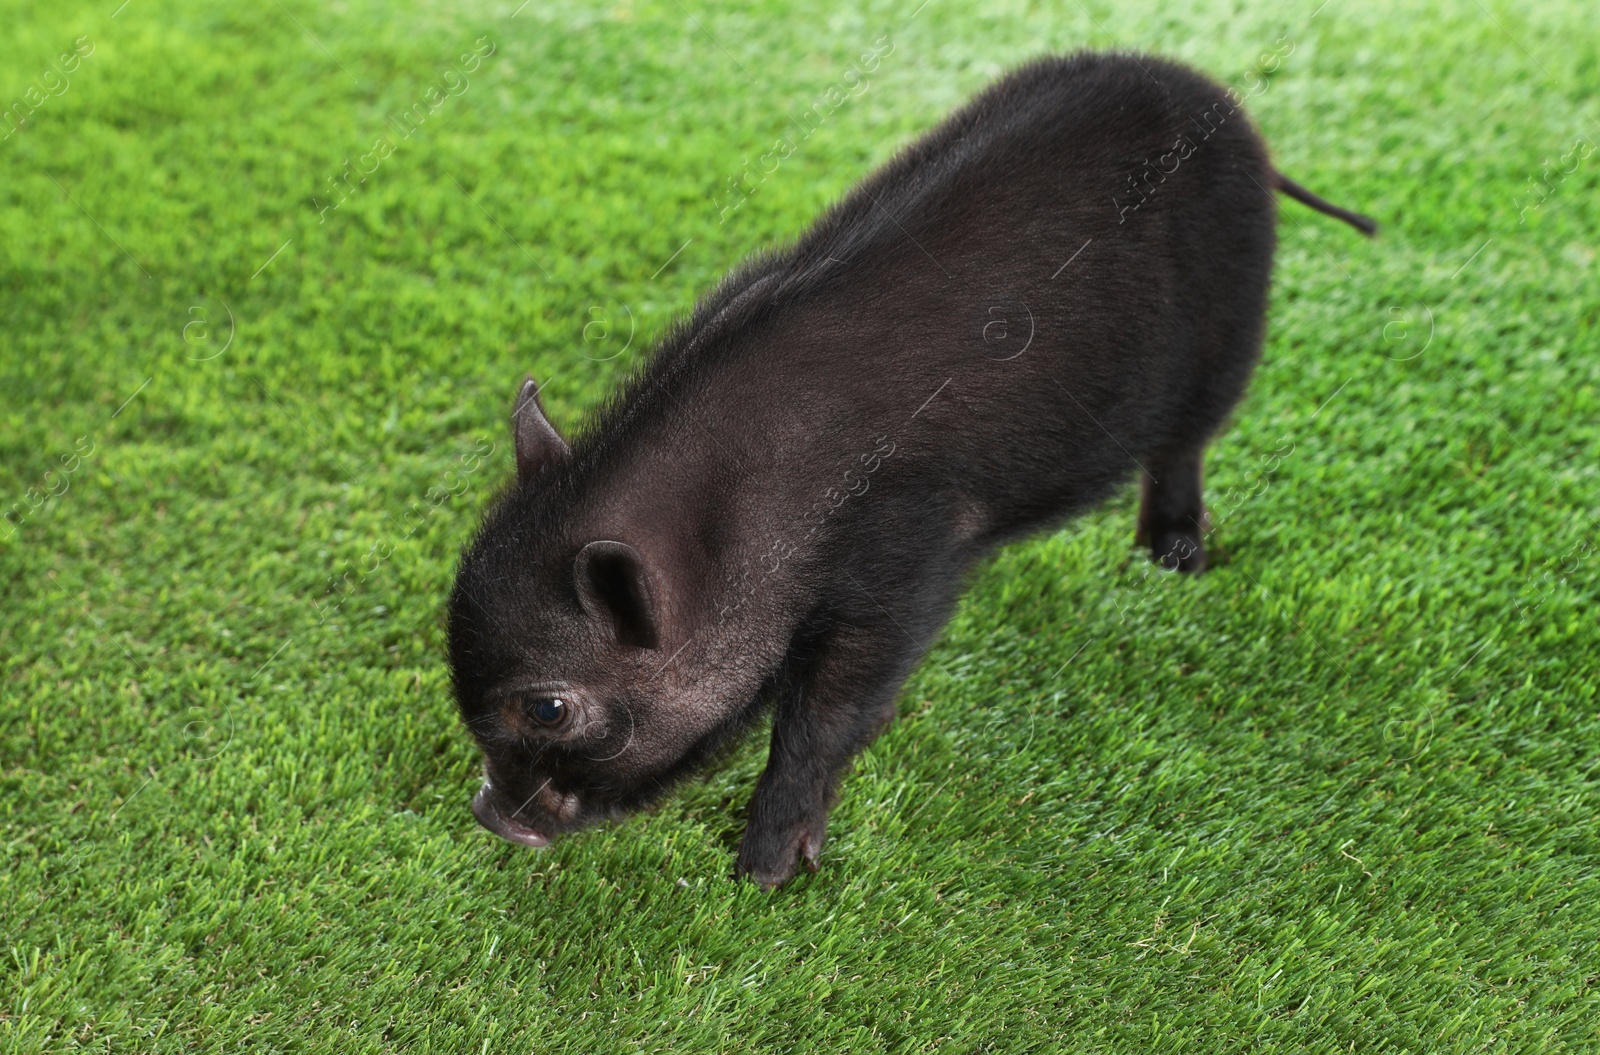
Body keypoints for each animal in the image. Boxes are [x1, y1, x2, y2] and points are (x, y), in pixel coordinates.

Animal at [451, 53, 1376, 890]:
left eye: (548, 706)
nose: (491, 816)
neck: (742, 517)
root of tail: (1234, 115)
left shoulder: (907, 550)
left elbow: (828, 714)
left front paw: (764, 875)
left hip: (1230, 341)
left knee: (1183, 448)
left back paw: (1174, 561)